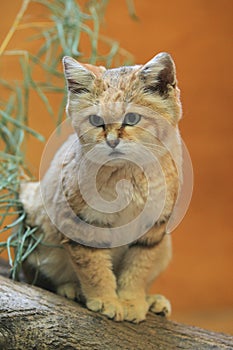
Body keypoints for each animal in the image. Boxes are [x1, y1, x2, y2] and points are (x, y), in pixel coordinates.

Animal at [20, 52, 182, 322]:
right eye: (96, 120)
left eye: (132, 118)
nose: (112, 141)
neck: (128, 173)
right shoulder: (82, 222)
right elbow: (94, 267)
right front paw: (106, 299)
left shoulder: (153, 229)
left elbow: (139, 268)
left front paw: (132, 300)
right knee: (37, 278)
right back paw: (70, 288)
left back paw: (152, 301)